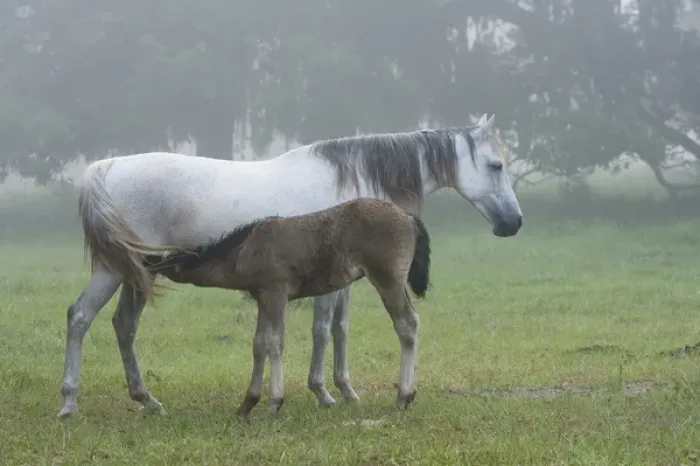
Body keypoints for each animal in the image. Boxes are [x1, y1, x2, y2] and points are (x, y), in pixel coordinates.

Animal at [144, 197, 432, 418]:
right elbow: (259, 344)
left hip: (388, 280)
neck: (246, 250)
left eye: (162, 261)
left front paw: (274, 403)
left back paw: (404, 396)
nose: (146, 263)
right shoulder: (263, 299)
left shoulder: (276, 295)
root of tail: (407, 217)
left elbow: (274, 343)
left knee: (408, 324)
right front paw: (247, 404)